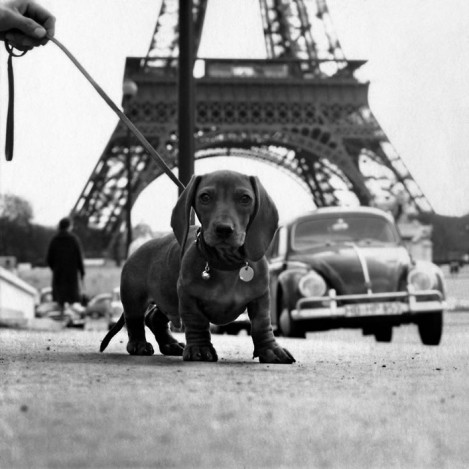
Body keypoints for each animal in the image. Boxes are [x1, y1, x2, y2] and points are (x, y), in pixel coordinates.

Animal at [100, 170, 294, 364]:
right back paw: (139, 345)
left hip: (168, 298)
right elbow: (196, 321)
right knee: (134, 320)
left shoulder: (260, 297)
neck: (226, 264)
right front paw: (200, 349)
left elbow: (262, 324)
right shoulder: (188, 296)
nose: (224, 229)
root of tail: (137, 249)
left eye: (245, 198)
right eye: (205, 197)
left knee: (154, 318)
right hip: (135, 298)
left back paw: (170, 345)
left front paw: (270, 350)